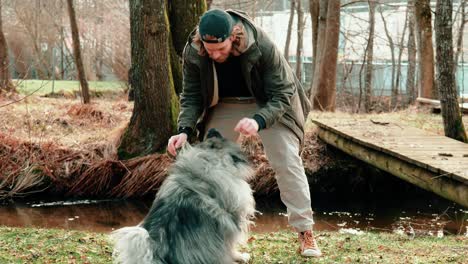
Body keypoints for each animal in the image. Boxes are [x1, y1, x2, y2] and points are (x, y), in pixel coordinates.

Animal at [110, 129, 256, 264]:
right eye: (216, 135)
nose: (211, 129)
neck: (209, 160)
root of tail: (158, 252)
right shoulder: (230, 221)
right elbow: (230, 245)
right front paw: (240, 256)